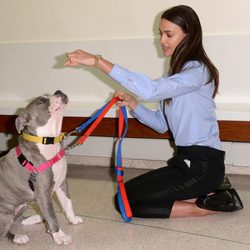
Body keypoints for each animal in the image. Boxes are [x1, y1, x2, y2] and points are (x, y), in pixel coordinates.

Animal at [0, 90, 82, 244]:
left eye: (53, 93)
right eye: (42, 101)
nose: (59, 91)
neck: (47, 142)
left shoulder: (62, 183)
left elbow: (67, 203)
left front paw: (72, 218)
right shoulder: (43, 193)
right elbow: (52, 216)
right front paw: (60, 236)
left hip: (23, 204)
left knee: (18, 220)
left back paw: (36, 218)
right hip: (5, 213)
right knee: (3, 233)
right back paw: (19, 237)